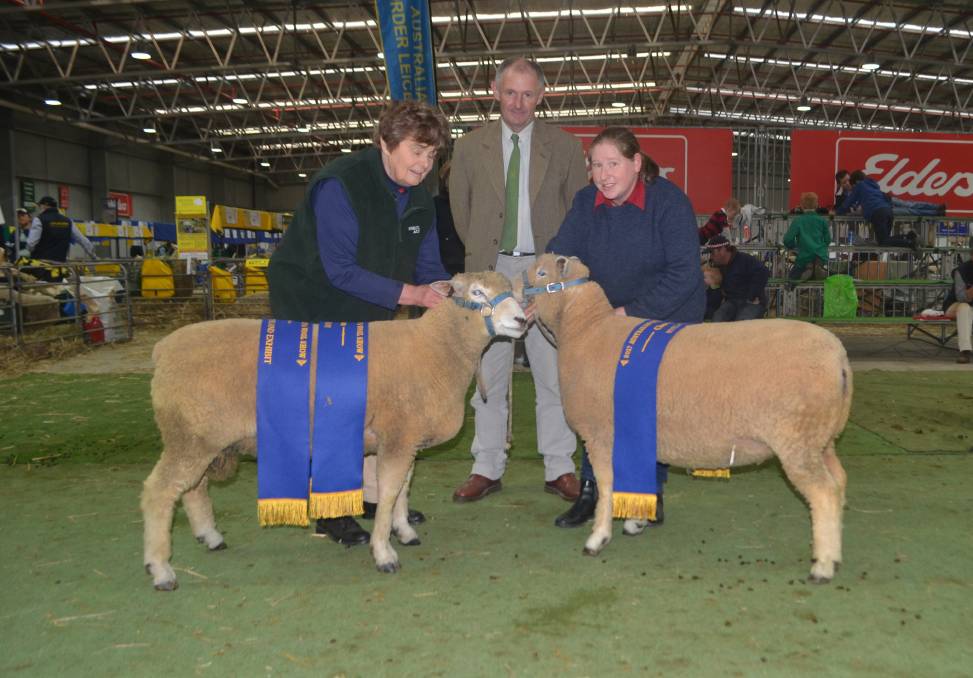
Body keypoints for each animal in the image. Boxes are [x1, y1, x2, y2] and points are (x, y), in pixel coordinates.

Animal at [139, 270, 524, 588]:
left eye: (513, 290)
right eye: (476, 292)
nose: (522, 318)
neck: (438, 346)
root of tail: (162, 350)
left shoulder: (407, 438)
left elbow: (403, 488)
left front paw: (404, 530)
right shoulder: (398, 436)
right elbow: (389, 492)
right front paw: (384, 552)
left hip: (202, 438)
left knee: (194, 488)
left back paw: (210, 536)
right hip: (188, 437)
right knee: (161, 491)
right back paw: (161, 570)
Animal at [520, 255, 848, 584]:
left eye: (541, 273)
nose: (517, 285)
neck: (585, 330)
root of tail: (840, 359)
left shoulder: (599, 434)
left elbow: (607, 484)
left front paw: (598, 537)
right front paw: (636, 520)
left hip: (798, 439)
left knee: (824, 493)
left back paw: (822, 566)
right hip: (823, 438)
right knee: (839, 482)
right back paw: (834, 550)